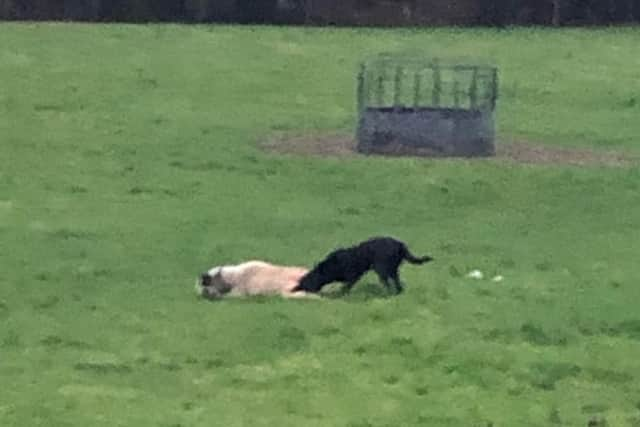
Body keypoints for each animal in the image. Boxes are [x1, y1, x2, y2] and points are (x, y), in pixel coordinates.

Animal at [292, 236, 432, 296]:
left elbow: (346, 287)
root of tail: (400, 245)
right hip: (392, 270)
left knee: (388, 283)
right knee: (397, 283)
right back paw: (397, 293)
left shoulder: (353, 276)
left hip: (382, 269)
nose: (295, 288)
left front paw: (339, 295)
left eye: (306, 281)